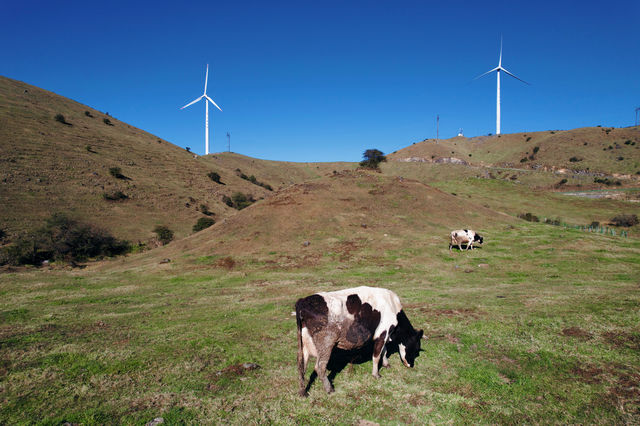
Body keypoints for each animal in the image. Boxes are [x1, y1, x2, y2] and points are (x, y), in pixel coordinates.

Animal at [296, 286, 424, 396]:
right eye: (416, 348)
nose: (411, 365)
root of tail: (303, 301)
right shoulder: (383, 333)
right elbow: (377, 355)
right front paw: (376, 374)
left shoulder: (386, 335)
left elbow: (384, 351)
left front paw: (386, 364)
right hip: (326, 342)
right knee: (319, 367)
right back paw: (329, 389)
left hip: (304, 344)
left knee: (302, 365)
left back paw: (303, 392)